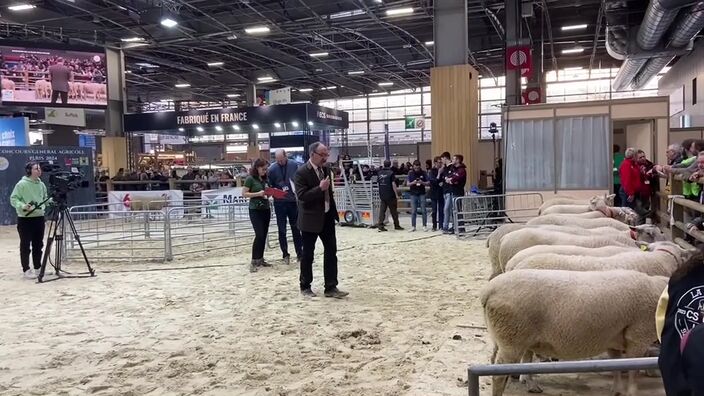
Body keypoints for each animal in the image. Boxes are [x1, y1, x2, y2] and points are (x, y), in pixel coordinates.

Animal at [482, 270, 668, 396]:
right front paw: (631, 392)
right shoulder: (638, 336)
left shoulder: (614, 338)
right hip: (512, 337)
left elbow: (616, 366)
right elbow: (633, 370)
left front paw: (617, 390)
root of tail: (489, 290)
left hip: (505, 337)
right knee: (498, 374)